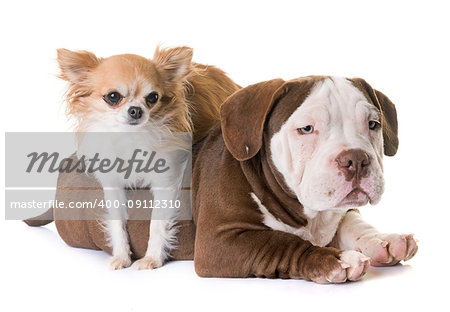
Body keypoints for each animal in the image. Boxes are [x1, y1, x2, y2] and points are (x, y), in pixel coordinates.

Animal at [192, 75, 418, 282]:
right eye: (306, 129)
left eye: (373, 124)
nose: (356, 159)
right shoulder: (217, 242)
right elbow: (279, 242)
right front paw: (334, 258)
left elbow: (351, 220)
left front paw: (383, 240)